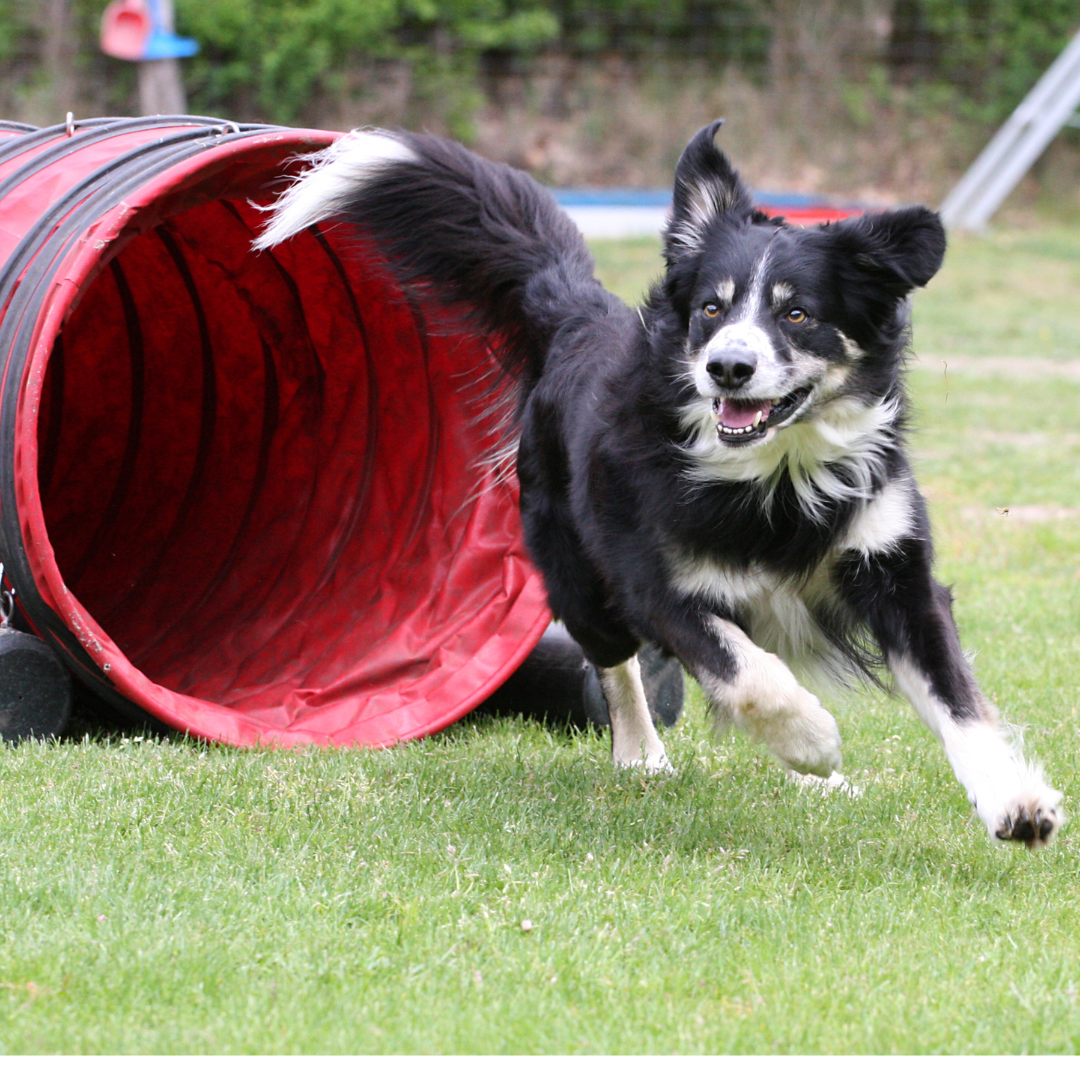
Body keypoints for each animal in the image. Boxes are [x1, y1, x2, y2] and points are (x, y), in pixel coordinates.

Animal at [254, 122, 1062, 846]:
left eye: (797, 312)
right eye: (712, 307)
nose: (727, 368)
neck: (777, 475)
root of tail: (579, 314)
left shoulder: (892, 566)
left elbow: (954, 696)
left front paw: (1013, 802)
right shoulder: (654, 579)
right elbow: (742, 671)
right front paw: (811, 738)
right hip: (576, 570)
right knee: (615, 660)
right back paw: (646, 754)